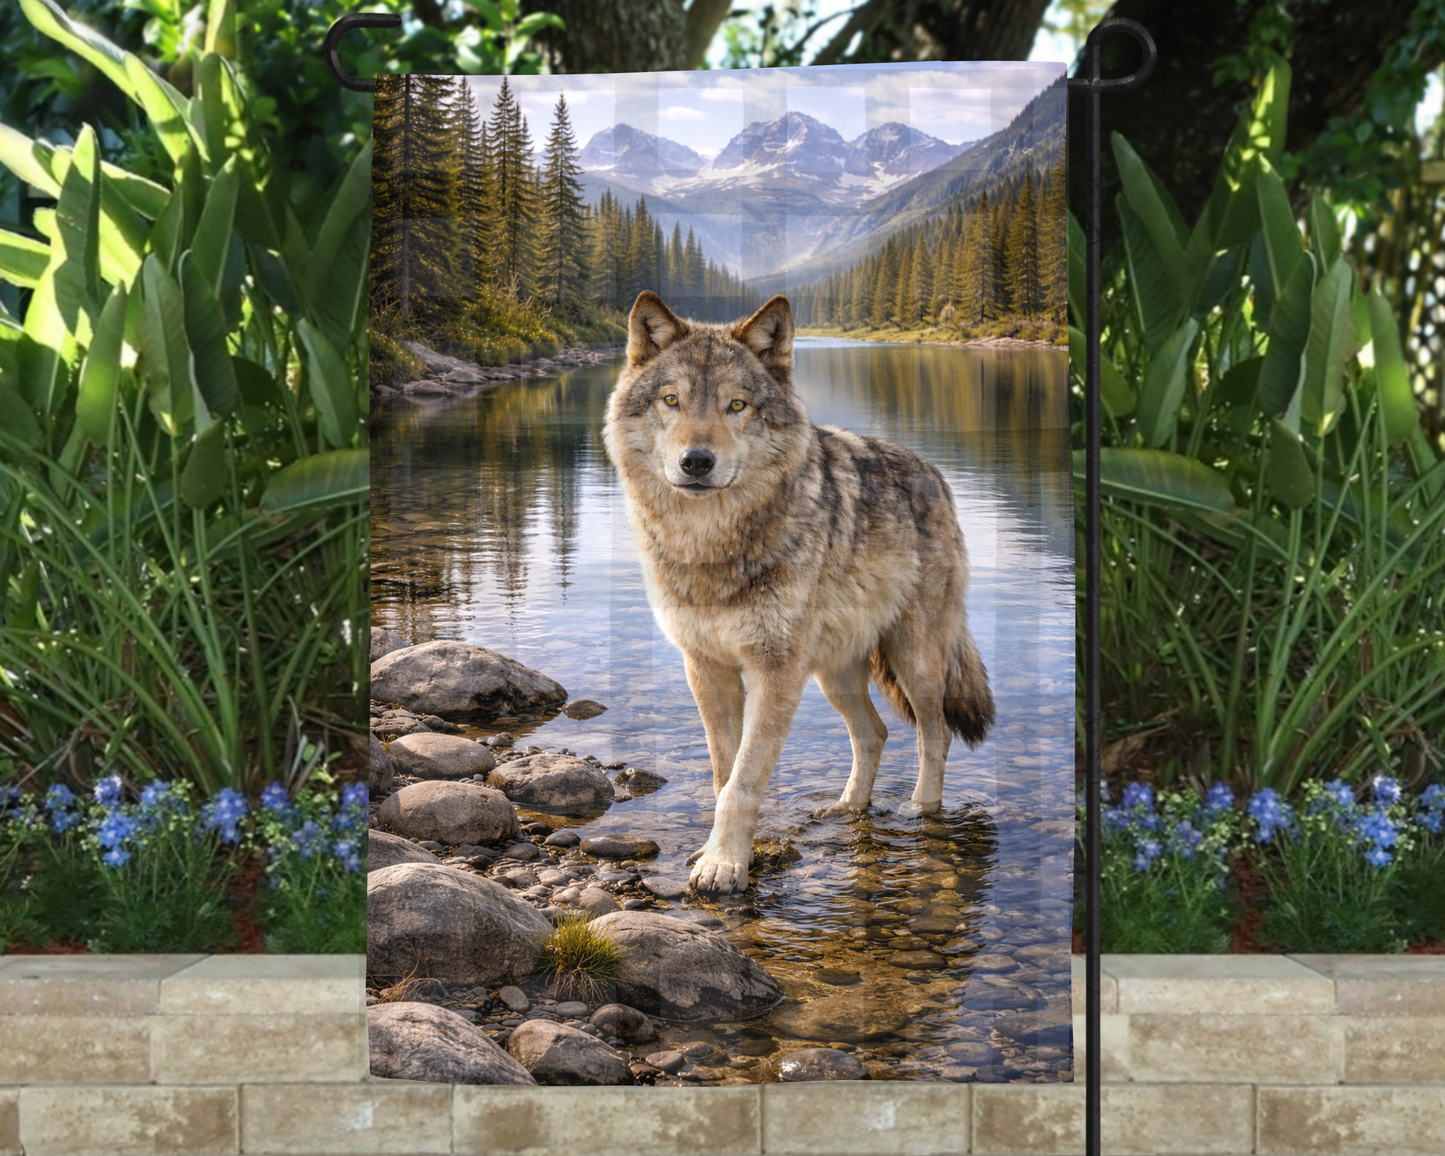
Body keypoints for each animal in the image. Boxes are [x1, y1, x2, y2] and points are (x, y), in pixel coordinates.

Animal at [602, 291, 995, 894]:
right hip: (835, 675)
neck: (710, 546)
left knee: (935, 734)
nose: (696, 462)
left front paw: (724, 864)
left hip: (915, 661)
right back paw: (848, 808)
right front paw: (720, 853)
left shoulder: (775, 671)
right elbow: (723, 772)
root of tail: (933, 473)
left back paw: (920, 812)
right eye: (672, 400)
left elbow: (744, 780)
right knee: (875, 732)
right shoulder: (707, 669)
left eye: (737, 405)